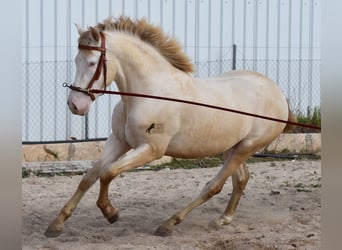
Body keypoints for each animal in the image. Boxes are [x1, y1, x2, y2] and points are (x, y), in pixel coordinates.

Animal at [45, 16, 296, 237]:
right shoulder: (119, 141)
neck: (149, 93)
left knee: (213, 186)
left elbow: (108, 173)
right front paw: (56, 225)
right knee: (241, 179)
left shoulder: (151, 150)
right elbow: (89, 176)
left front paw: (111, 213)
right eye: (76, 60)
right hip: (232, 148)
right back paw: (222, 219)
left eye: (91, 63)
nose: (75, 105)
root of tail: (276, 92)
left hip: (246, 148)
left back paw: (169, 224)